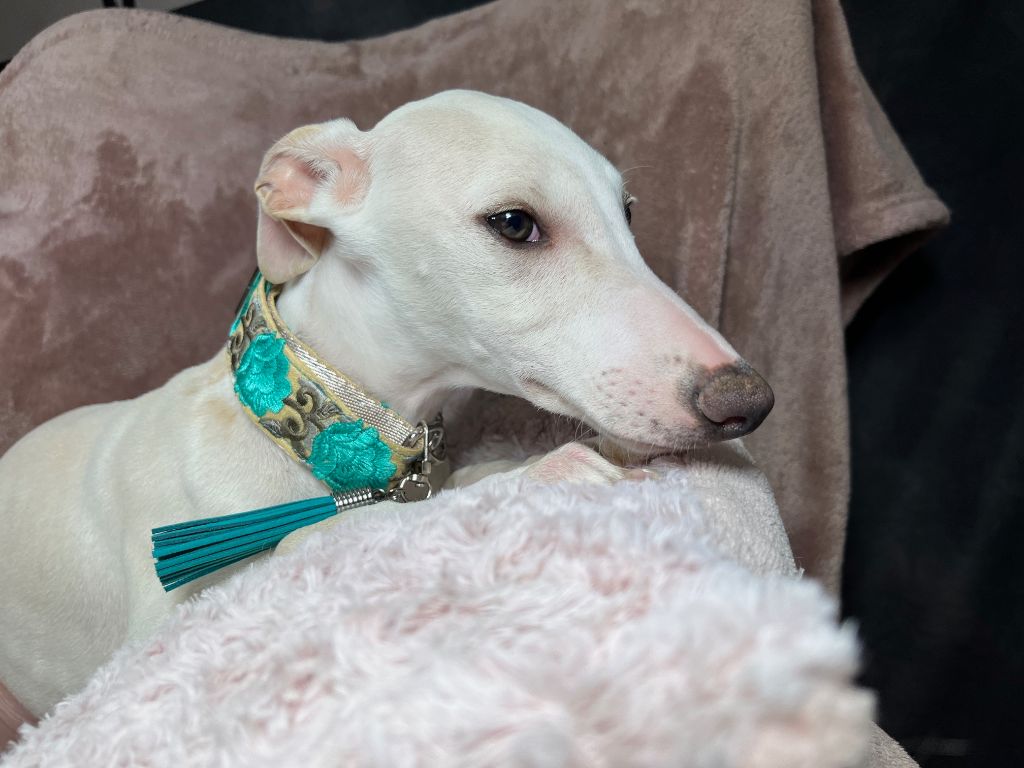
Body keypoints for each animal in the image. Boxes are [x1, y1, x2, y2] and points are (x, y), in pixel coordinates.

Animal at [0, 90, 773, 730]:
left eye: (628, 212)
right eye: (514, 223)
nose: (749, 402)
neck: (312, 428)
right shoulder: (163, 634)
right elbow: (312, 539)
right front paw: (549, 472)